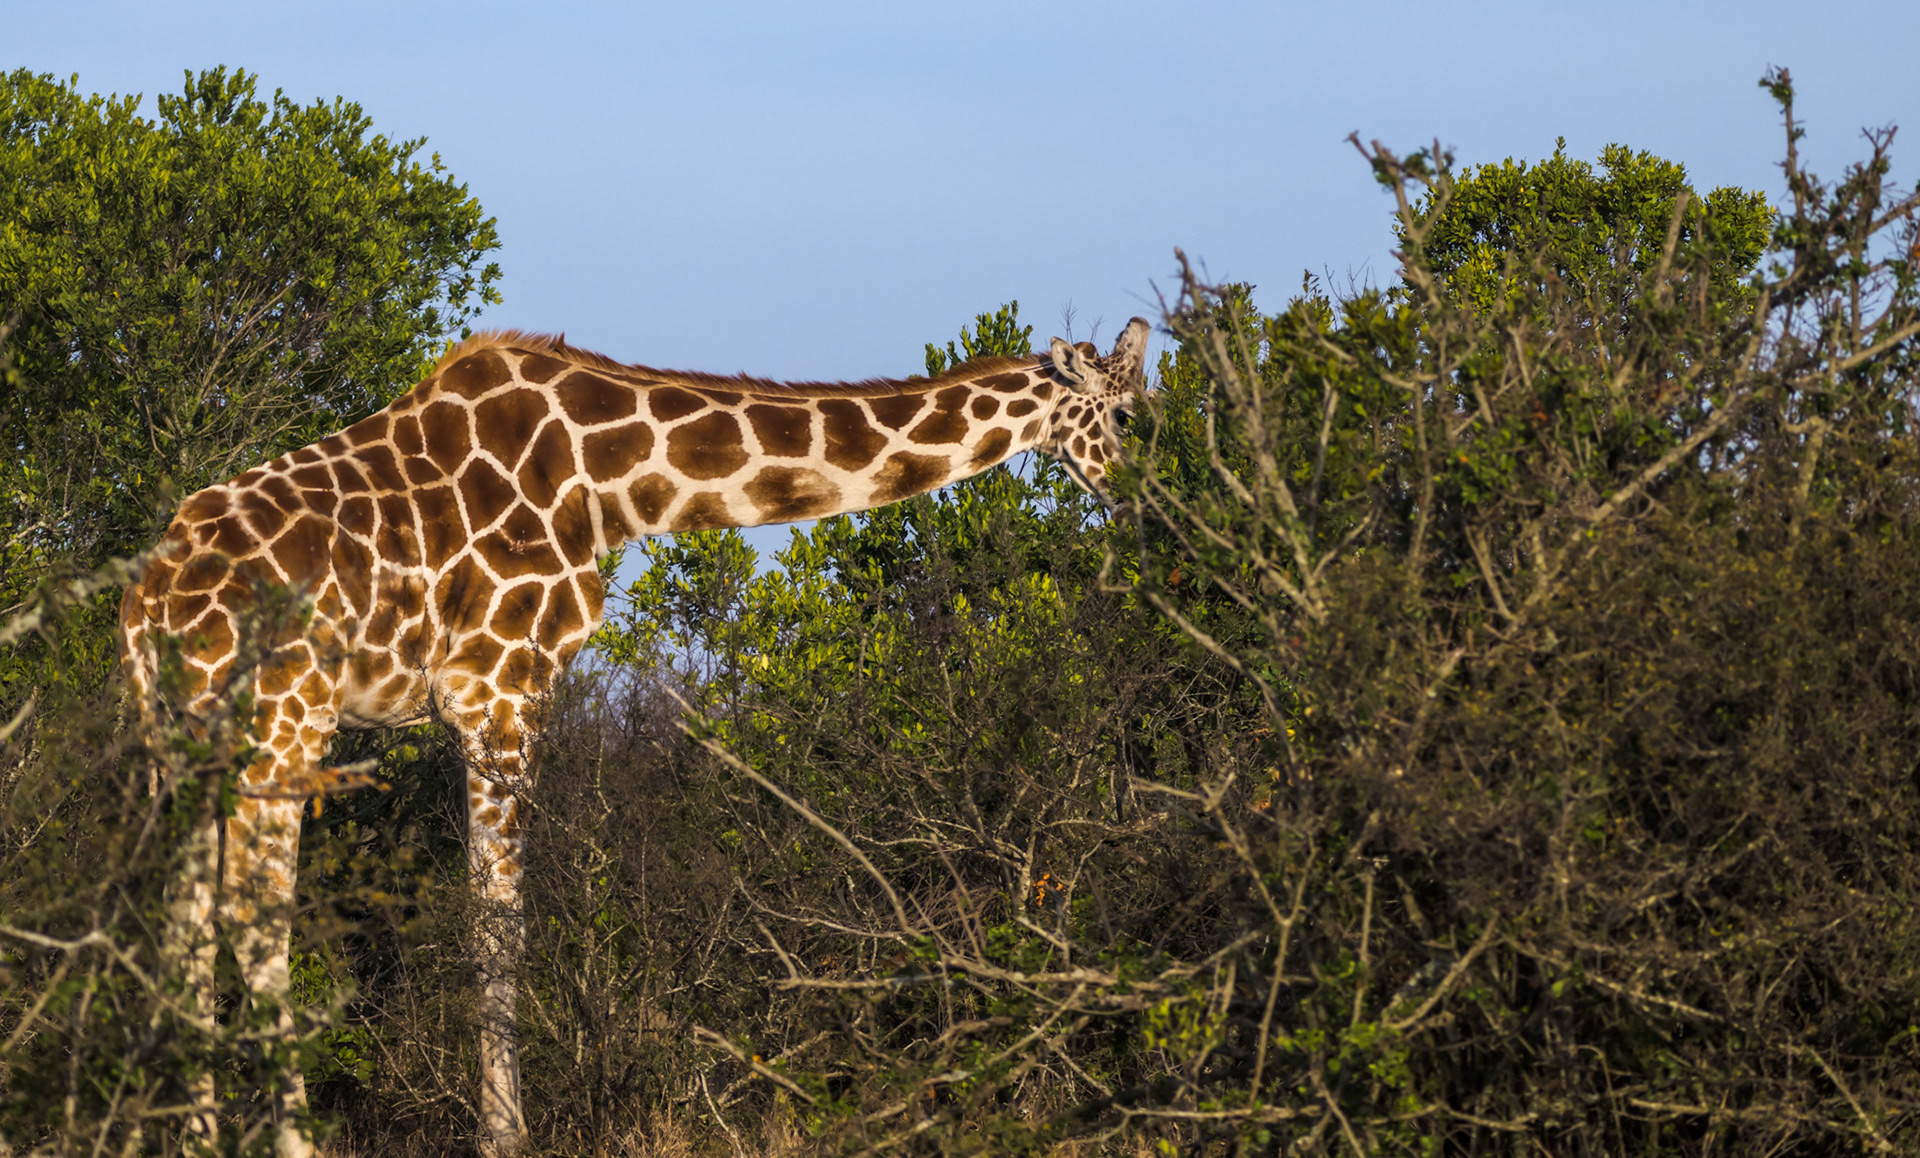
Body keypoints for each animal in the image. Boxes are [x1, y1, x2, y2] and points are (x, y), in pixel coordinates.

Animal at [118, 316, 1150, 1156]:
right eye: (1132, 418)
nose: (1149, 499)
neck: (616, 485)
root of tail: (148, 602)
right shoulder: (501, 685)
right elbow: (499, 922)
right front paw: (506, 1135)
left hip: (183, 737)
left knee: (182, 918)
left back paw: (189, 1136)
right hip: (283, 724)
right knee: (251, 916)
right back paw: (285, 1140)